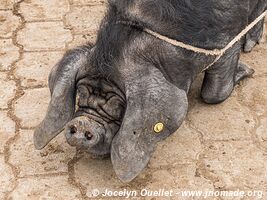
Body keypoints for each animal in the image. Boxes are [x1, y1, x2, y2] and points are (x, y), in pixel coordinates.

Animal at [34, 0, 266, 182]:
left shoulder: (227, 39)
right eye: (81, 94)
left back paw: (250, 45)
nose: (82, 124)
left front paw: (246, 70)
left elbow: (214, 93)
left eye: (119, 107)